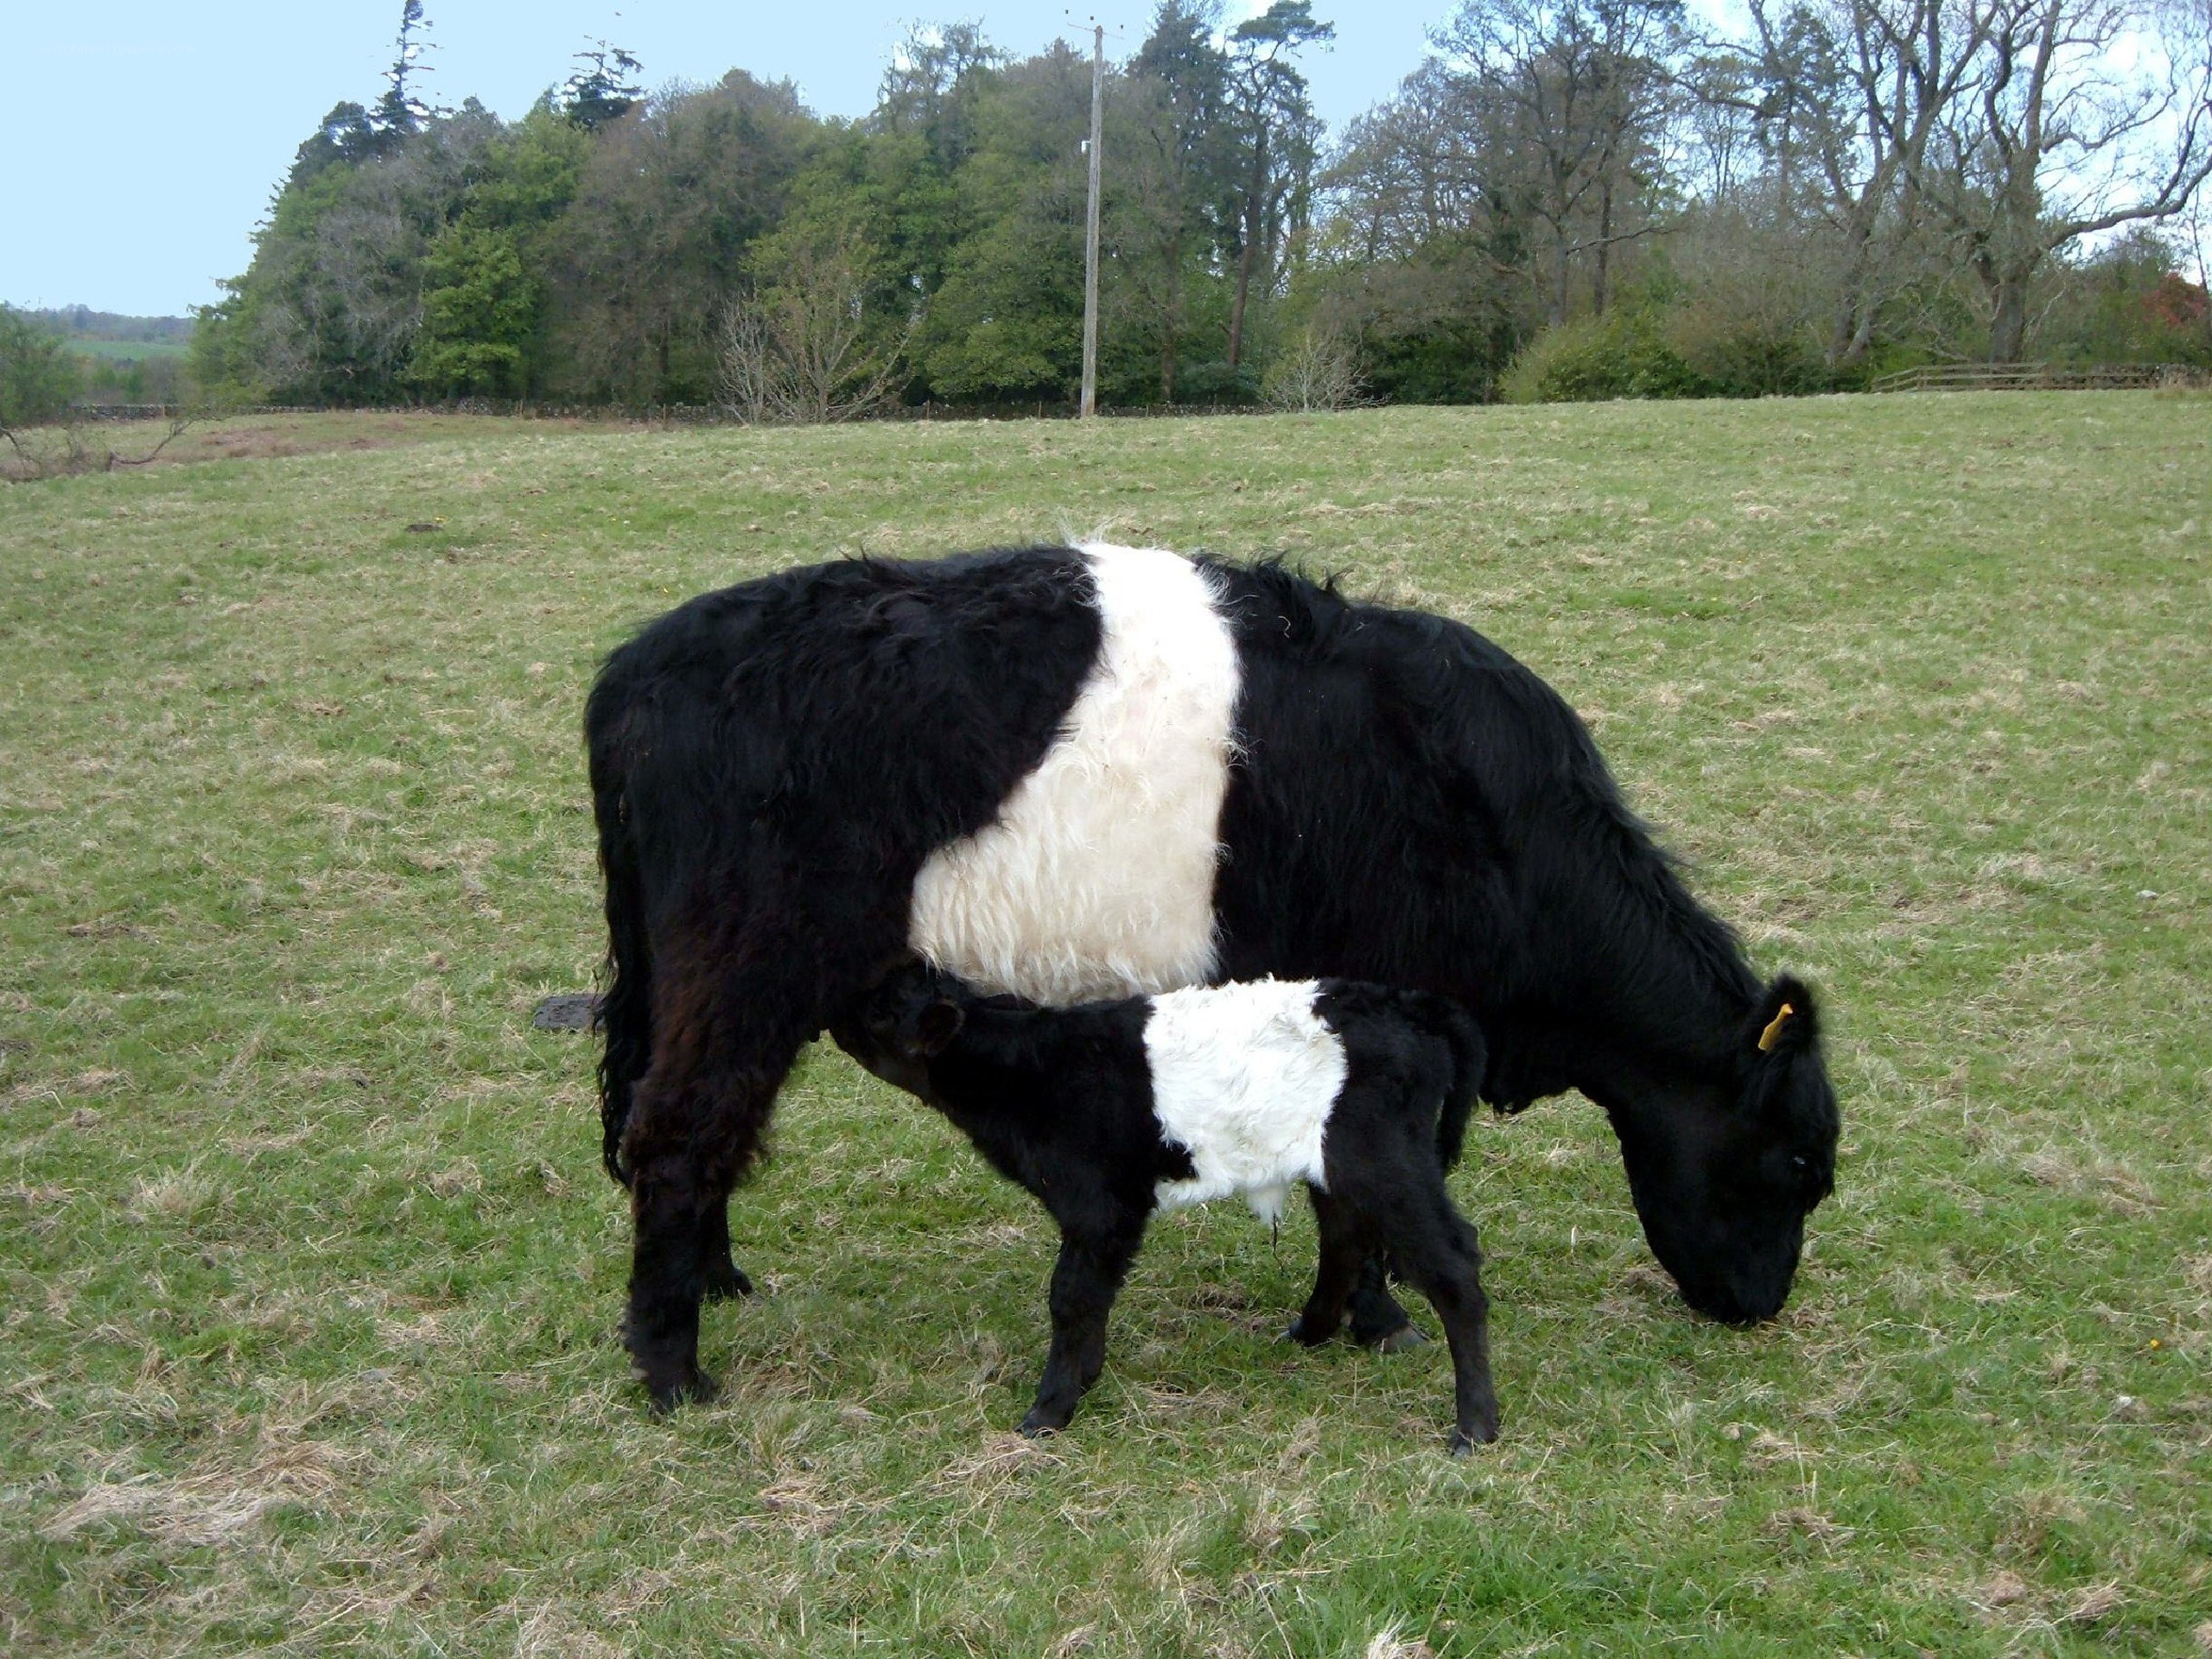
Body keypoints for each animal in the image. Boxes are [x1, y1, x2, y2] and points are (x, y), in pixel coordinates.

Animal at [586, 542, 1840, 1410]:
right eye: (1795, 1163)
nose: (1758, 1309)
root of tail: (642, 661)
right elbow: (1372, 1186)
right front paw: (1377, 1316)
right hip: (745, 964)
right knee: (679, 1130)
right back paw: (673, 1372)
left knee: (698, 1122)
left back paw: (714, 1282)